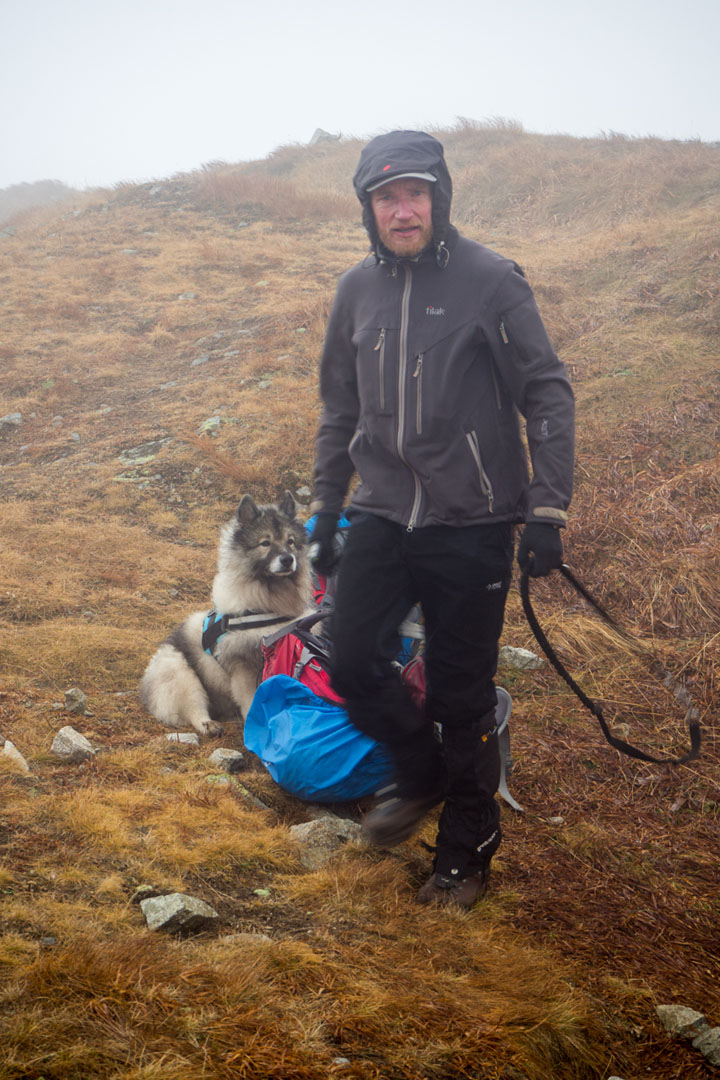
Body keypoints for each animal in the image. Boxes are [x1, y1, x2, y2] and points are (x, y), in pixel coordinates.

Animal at [139, 494, 310, 738]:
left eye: (291, 541)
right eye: (265, 543)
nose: (287, 559)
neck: (267, 604)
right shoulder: (243, 666)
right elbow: (251, 700)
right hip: (179, 671)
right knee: (194, 706)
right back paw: (208, 724)